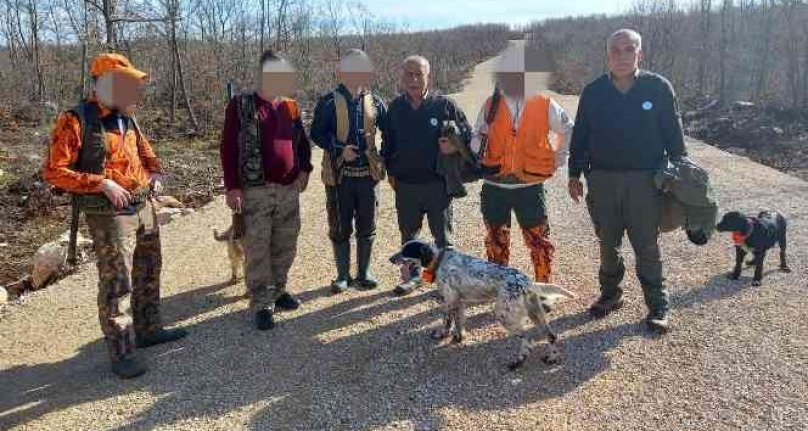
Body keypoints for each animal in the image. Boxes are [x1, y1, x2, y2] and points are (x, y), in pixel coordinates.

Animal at [390, 240, 576, 372]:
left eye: (405, 251)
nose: (390, 258)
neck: (440, 260)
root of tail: (526, 282)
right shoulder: (459, 301)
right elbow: (459, 322)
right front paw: (458, 337)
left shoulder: (449, 300)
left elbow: (446, 321)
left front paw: (441, 334)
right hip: (536, 313)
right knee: (551, 336)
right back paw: (552, 358)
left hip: (504, 315)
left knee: (528, 341)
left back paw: (517, 362)